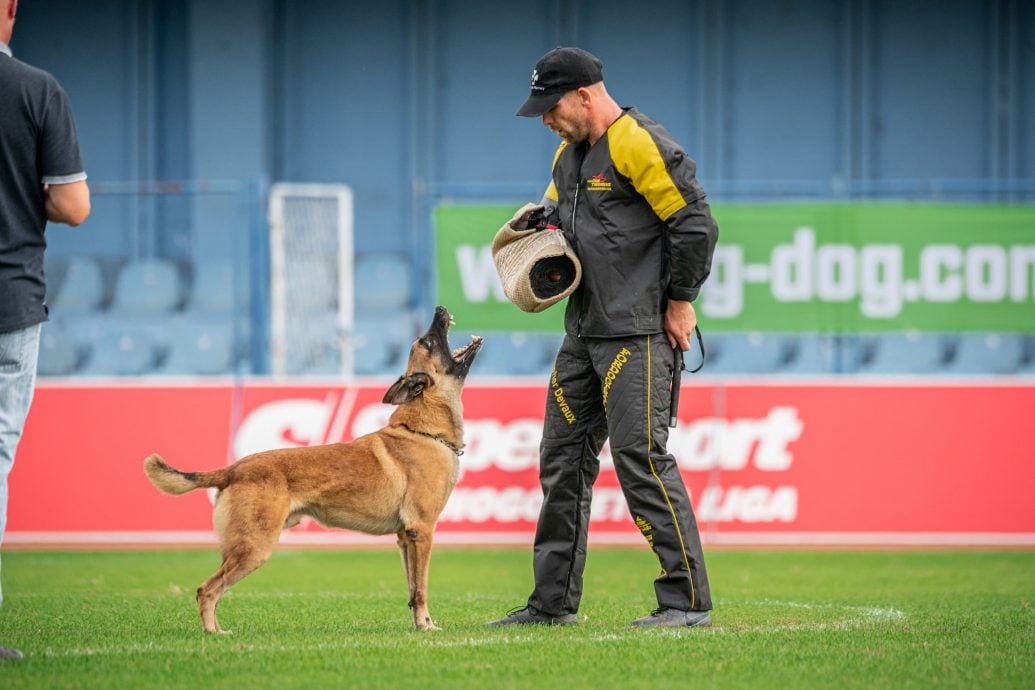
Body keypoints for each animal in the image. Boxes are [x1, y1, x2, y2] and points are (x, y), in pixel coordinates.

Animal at [143, 308, 482, 633]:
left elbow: (412, 591)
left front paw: (419, 625)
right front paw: (426, 627)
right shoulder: (421, 531)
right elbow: (421, 589)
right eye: (428, 341)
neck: (423, 430)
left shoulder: (404, 538)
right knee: (207, 589)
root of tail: (233, 469)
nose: (440, 308)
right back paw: (214, 635)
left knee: (211, 589)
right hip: (254, 547)